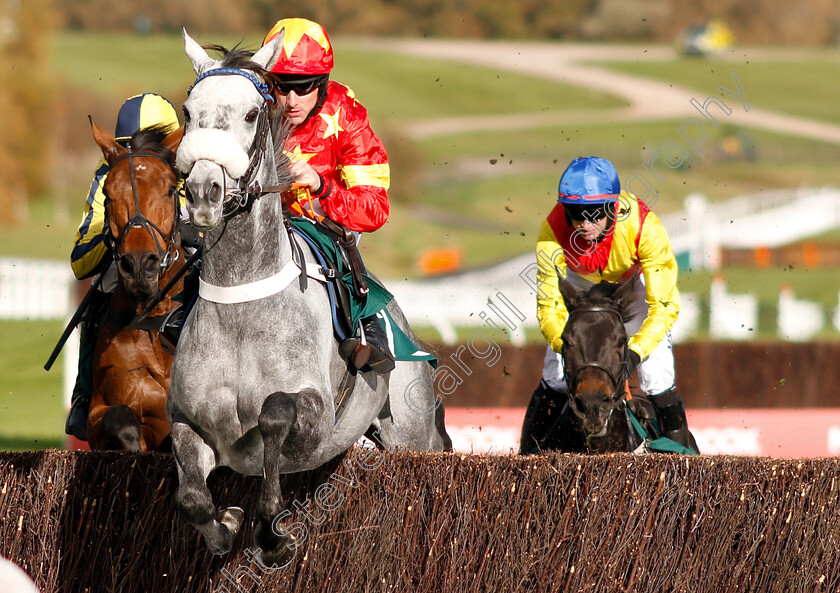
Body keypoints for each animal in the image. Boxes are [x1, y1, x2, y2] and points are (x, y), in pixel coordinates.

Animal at [167, 28, 450, 564]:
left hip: (411, 429)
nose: (204, 191)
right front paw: (225, 523)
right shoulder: (188, 422)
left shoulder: (313, 414)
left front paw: (272, 532)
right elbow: (191, 499)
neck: (241, 306)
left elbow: (275, 414)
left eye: (251, 114)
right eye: (189, 111)